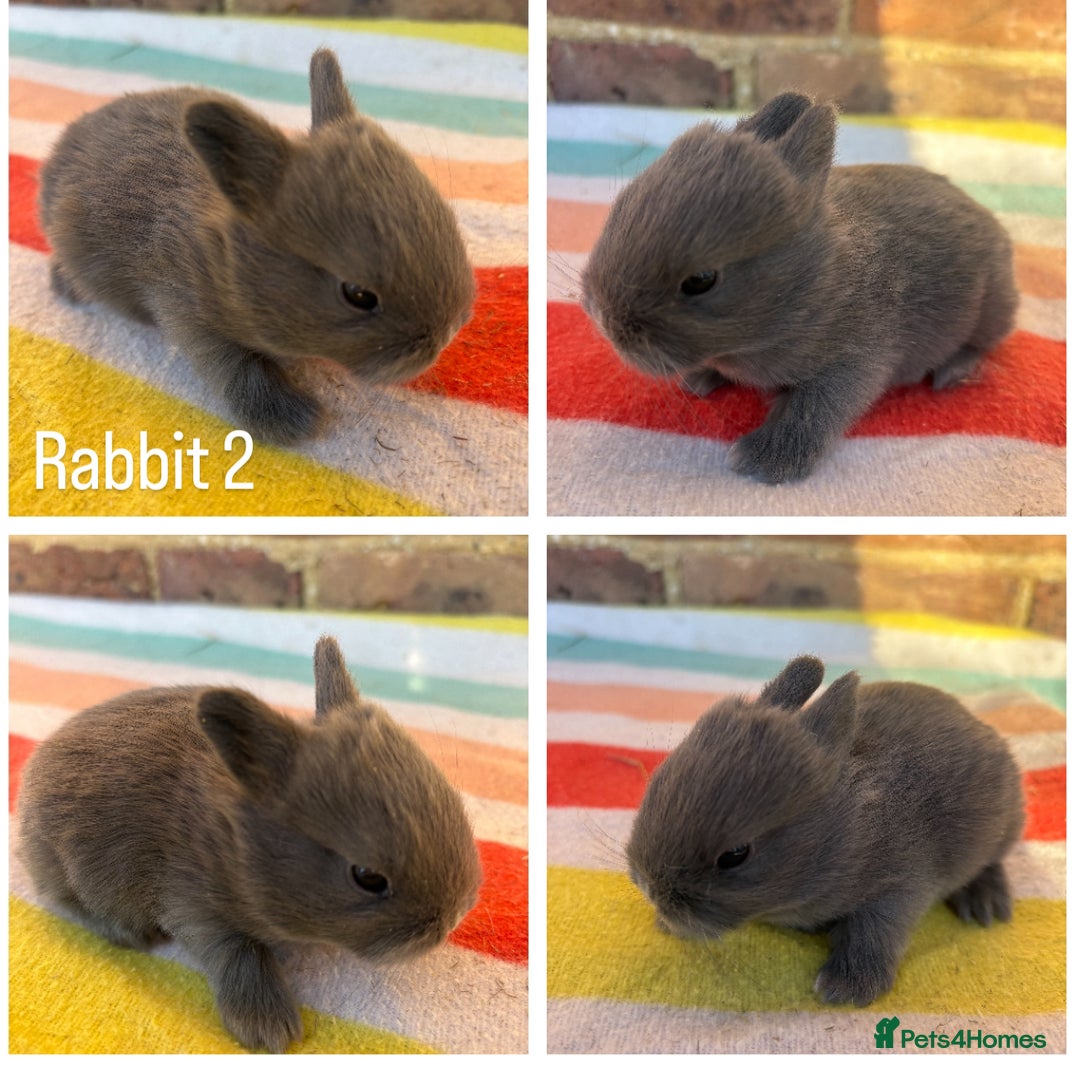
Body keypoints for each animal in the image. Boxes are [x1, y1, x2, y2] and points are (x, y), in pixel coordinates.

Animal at [17, 635, 482, 1053]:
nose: (453, 918)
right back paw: (129, 933)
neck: (234, 841)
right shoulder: (194, 905)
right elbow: (239, 953)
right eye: (367, 877)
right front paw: (268, 1028)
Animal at [38, 49, 475, 445]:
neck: (225, 256)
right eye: (358, 294)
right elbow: (240, 372)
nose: (447, 333)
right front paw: (297, 422)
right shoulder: (186, 314)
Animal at [580, 93, 1018, 483]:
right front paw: (699, 380)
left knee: (983, 342)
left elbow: (811, 413)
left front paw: (761, 461)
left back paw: (951, 373)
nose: (602, 318)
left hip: (992, 307)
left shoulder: (853, 365)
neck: (813, 286)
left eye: (701, 281)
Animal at [625, 655, 1025, 1005]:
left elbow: (875, 933)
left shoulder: (899, 887)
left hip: (1003, 828)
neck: (844, 829)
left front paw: (846, 989)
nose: (648, 887)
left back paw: (985, 904)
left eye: (735, 855)